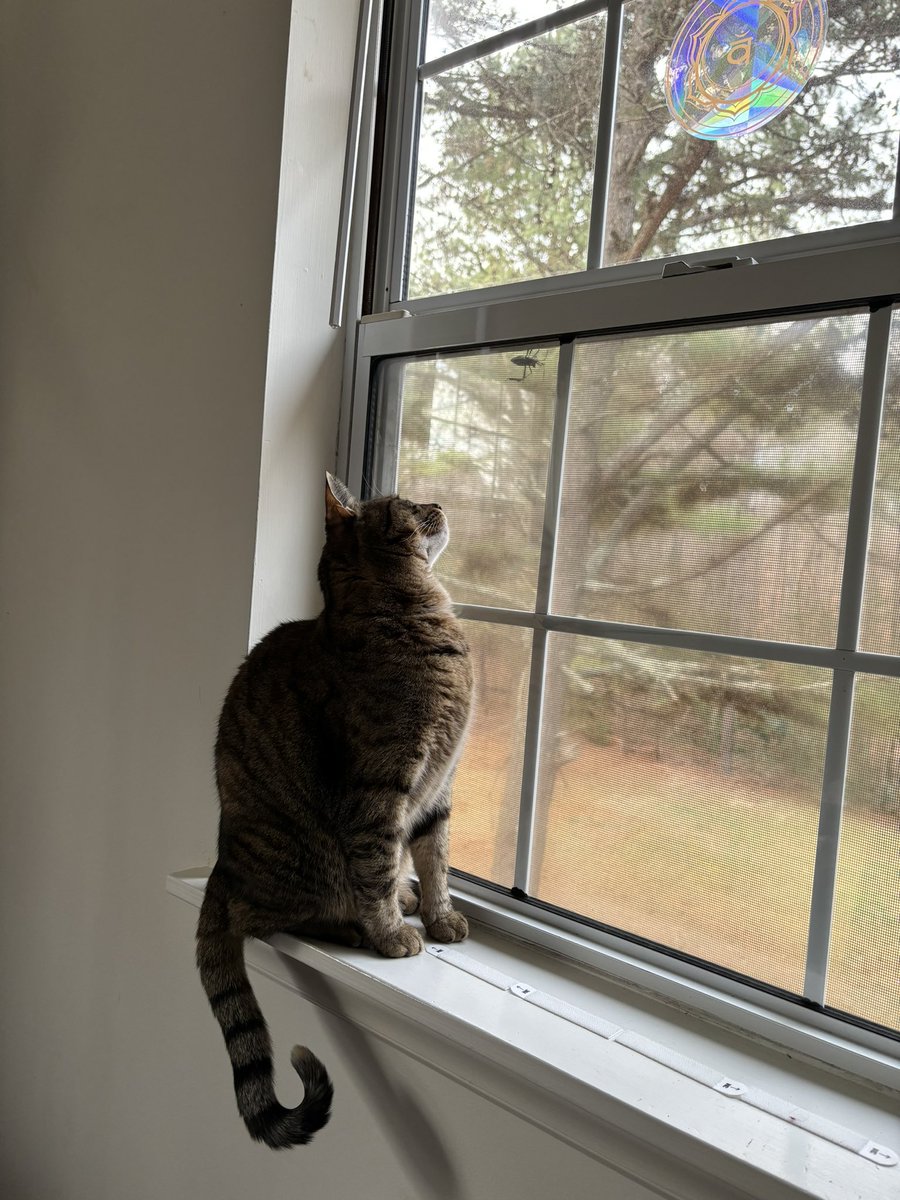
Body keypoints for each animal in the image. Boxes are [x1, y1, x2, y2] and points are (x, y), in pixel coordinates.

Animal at [196, 472, 475, 1147]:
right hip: (301, 859)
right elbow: (377, 866)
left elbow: (436, 860)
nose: (439, 504)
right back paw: (353, 924)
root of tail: (221, 863)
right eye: (407, 505)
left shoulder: (438, 791)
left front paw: (439, 913)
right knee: (267, 915)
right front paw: (391, 933)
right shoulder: (379, 789)